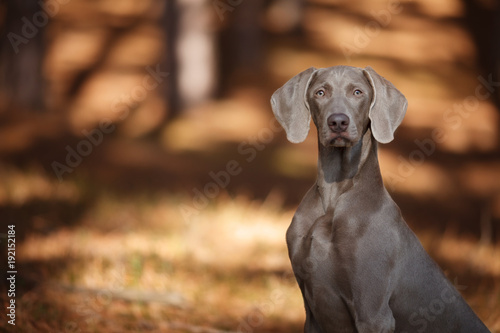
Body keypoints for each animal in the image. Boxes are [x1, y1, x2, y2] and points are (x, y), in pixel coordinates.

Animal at [270, 65, 488, 332]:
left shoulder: (373, 313)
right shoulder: (312, 315)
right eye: (320, 92)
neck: (334, 194)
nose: (338, 122)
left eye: (357, 92)